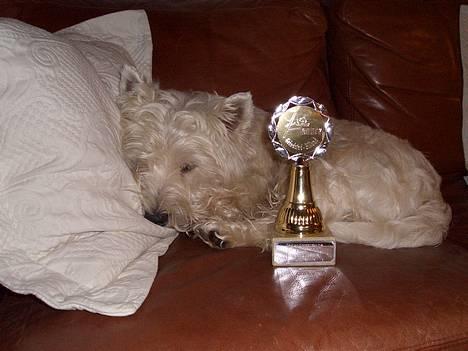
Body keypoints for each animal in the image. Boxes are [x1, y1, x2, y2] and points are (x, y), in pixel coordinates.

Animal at [116, 66, 450, 252]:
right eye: (140, 163)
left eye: (187, 167)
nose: (155, 217)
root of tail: (434, 196)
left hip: (327, 173)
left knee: (279, 228)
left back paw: (221, 233)